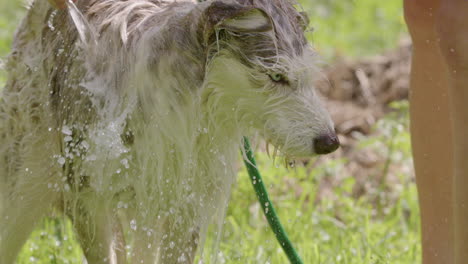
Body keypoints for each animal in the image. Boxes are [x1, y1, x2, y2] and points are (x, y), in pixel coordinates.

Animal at [0, 0, 336, 262]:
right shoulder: (88, 200)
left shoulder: (184, 207)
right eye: (276, 76)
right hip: (22, 192)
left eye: (306, 76)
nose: (330, 142)